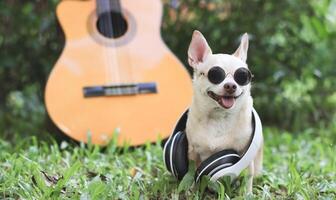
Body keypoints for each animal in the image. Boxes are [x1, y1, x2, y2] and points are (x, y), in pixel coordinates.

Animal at [185, 30, 264, 193]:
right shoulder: (193, 152)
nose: (231, 86)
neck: (219, 116)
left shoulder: (245, 153)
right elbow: (191, 172)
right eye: (214, 75)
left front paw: (247, 193)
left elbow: (248, 175)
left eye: (242, 76)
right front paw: (191, 191)